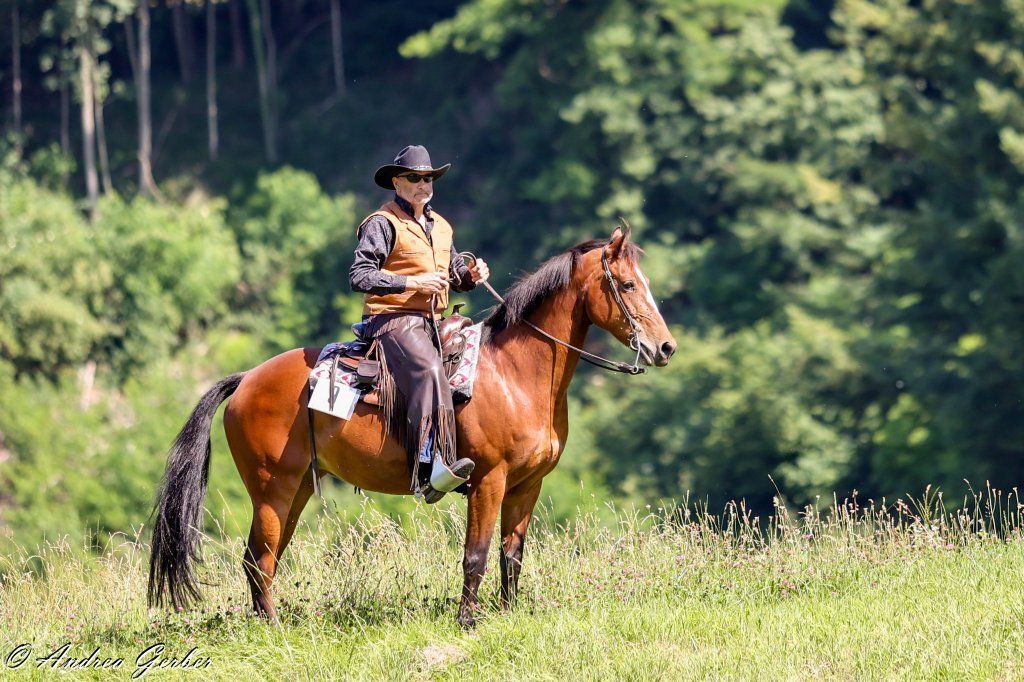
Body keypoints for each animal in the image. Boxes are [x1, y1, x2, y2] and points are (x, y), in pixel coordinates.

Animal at [148, 223, 677, 628]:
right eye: (627, 285)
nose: (666, 348)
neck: (516, 373)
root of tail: (245, 380)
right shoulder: (489, 480)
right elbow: (475, 555)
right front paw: (467, 622)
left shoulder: (527, 485)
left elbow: (511, 557)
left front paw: (508, 616)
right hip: (271, 488)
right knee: (258, 559)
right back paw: (272, 630)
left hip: (294, 489)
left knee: (265, 559)